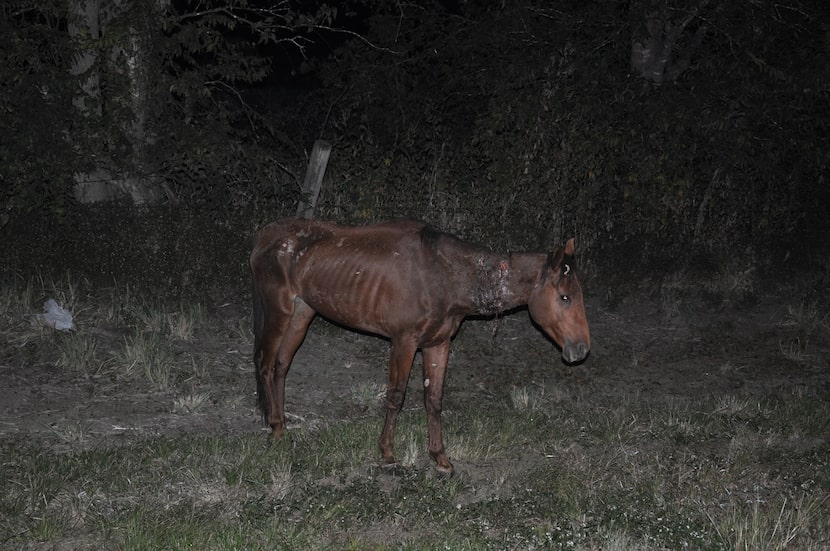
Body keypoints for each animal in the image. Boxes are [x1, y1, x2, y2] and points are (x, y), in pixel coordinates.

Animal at [249, 218, 592, 476]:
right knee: (265, 363)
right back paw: (275, 427)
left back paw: (282, 427)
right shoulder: (403, 341)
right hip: (279, 310)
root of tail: (265, 235)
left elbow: (434, 399)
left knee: (281, 365)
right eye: (565, 297)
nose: (581, 350)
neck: (447, 277)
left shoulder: (438, 344)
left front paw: (440, 457)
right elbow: (396, 397)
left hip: (302, 312)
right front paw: (387, 453)